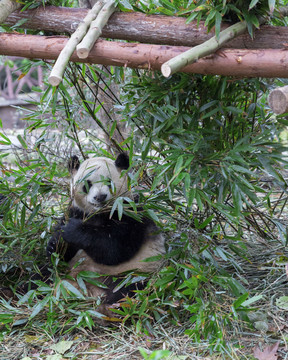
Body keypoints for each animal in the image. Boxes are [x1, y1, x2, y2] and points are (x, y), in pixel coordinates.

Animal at [46, 153, 165, 314]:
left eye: (109, 182)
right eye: (88, 184)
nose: (100, 197)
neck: (100, 213)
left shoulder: (130, 213)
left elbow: (114, 250)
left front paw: (73, 230)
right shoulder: (75, 212)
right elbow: (61, 252)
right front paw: (55, 245)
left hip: (133, 272)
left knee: (127, 289)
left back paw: (109, 308)